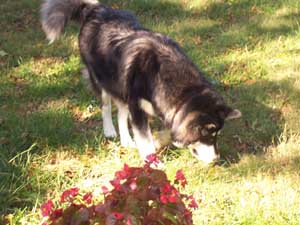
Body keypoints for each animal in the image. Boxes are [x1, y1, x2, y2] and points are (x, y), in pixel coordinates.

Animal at [40, 0, 241, 163]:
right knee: (106, 107)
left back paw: (126, 140)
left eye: (217, 135)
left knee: (121, 113)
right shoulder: (137, 108)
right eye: (209, 135)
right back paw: (109, 130)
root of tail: (95, 9)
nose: (216, 159)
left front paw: (158, 141)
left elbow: (164, 132)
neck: (160, 76)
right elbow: (145, 139)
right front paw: (153, 161)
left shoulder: (161, 109)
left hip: (122, 87)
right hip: (104, 81)